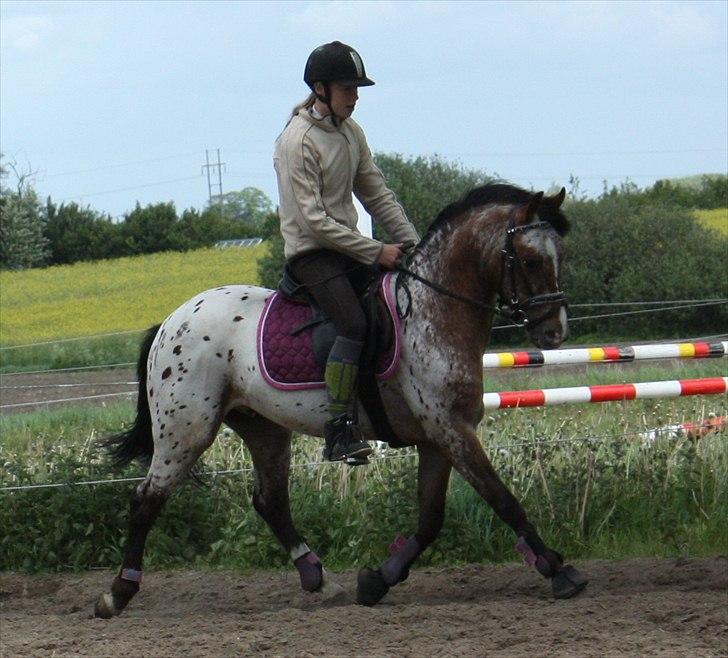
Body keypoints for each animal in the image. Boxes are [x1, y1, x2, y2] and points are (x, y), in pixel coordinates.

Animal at [94, 183, 588, 616]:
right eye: (529, 259)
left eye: (561, 255)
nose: (554, 332)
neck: (433, 309)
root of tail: (170, 321)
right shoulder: (451, 430)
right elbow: (502, 499)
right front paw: (559, 571)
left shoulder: (438, 436)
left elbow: (430, 519)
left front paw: (377, 581)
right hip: (186, 430)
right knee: (146, 500)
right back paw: (116, 595)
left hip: (263, 428)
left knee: (270, 502)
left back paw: (318, 580)